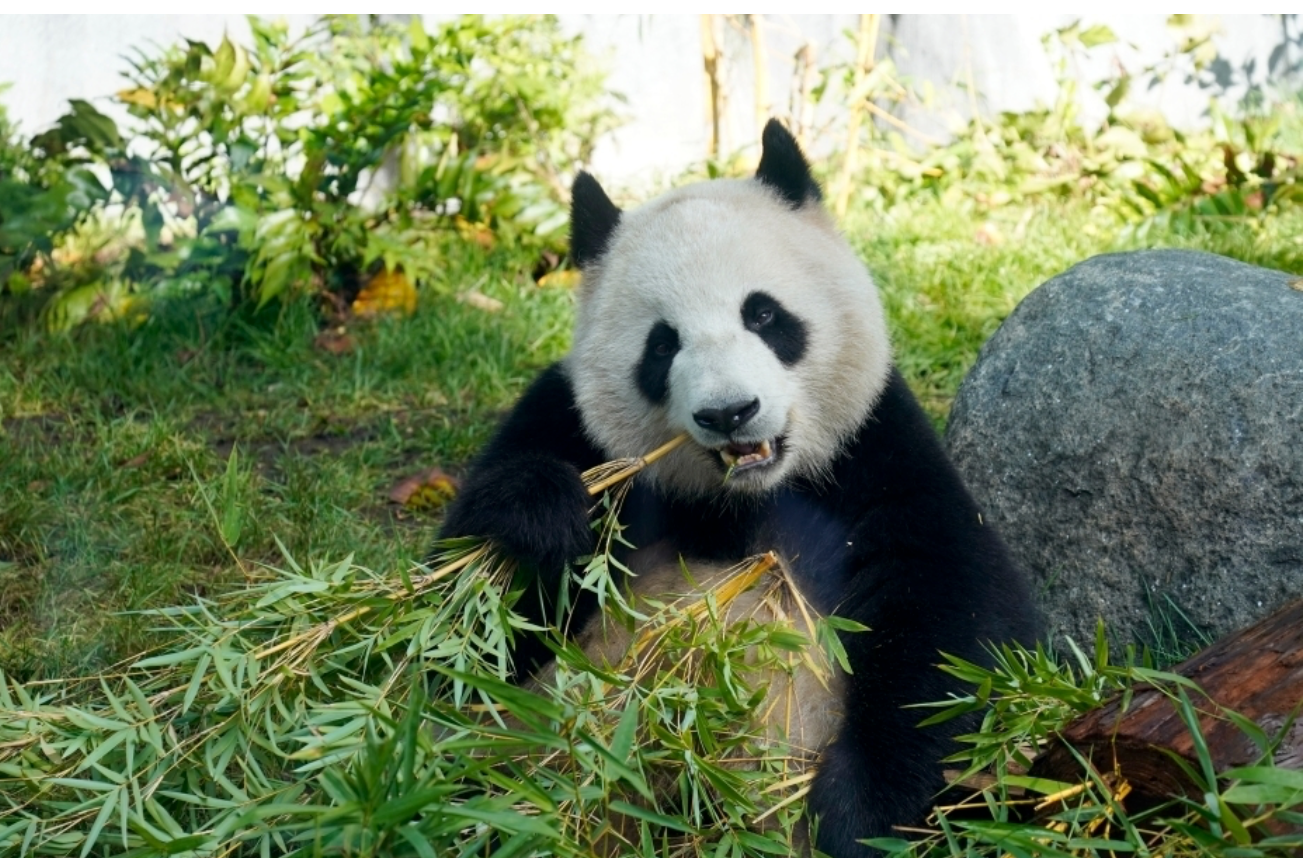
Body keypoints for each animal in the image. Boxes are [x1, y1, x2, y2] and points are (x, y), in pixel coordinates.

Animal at [438, 119, 1038, 857]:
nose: (729, 412)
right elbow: (469, 633)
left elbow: (954, 621)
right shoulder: (568, 423)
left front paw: (854, 816)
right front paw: (541, 517)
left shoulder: (875, 451)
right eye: (661, 345)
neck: (738, 498)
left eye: (764, 315)